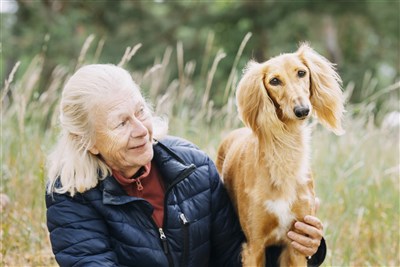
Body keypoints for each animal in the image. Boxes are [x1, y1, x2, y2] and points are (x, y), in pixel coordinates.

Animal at [217, 43, 346, 266]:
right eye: (274, 81)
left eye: (301, 73)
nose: (302, 110)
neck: (283, 158)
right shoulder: (254, 245)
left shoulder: (297, 241)